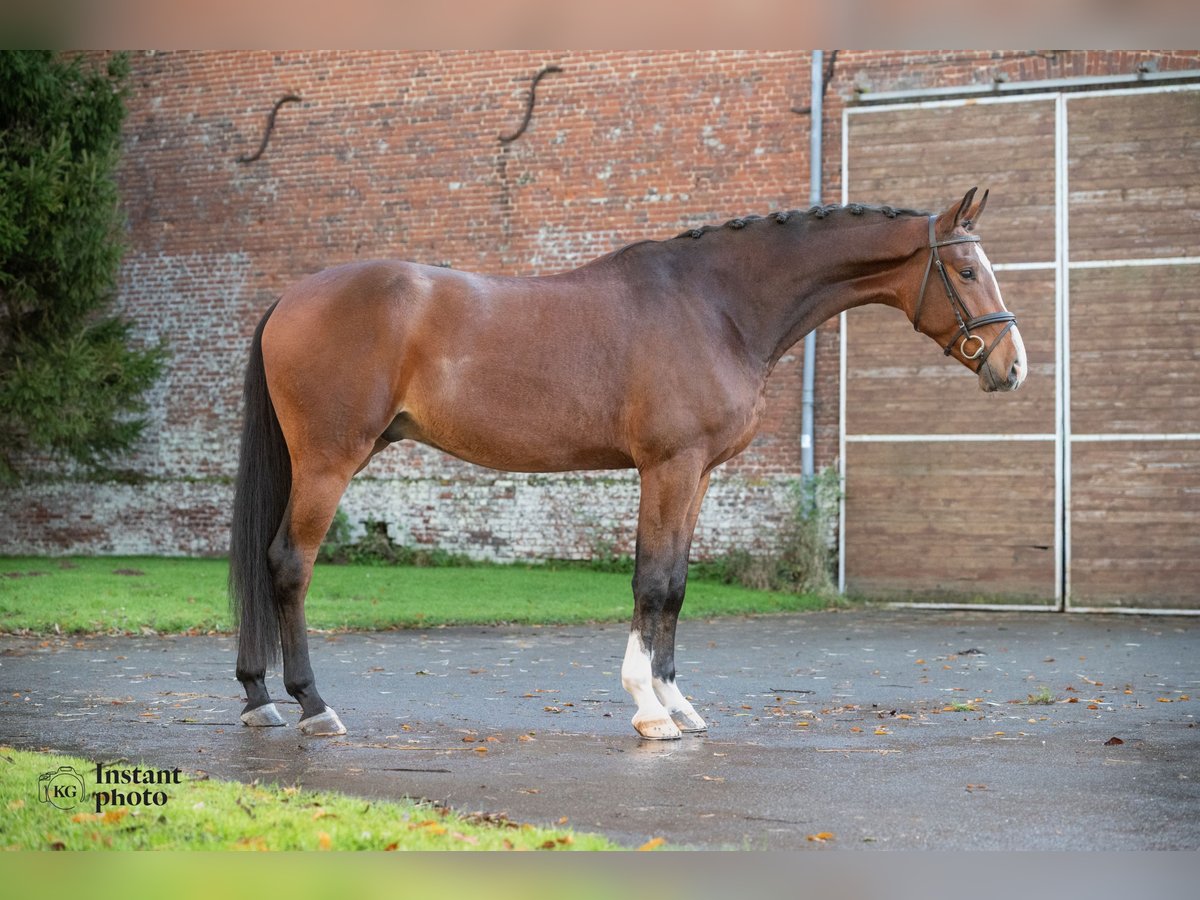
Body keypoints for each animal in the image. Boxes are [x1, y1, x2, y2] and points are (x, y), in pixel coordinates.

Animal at [229, 187, 1026, 739]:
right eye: (965, 269)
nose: (1012, 367)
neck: (715, 306)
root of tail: (290, 297)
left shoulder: (698, 474)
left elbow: (675, 586)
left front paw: (678, 702)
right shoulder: (667, 467)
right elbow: (652, 582)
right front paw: (648, 710)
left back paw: (258, 697)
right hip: (328, 462)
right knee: (288, 565)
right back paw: (313, 706)